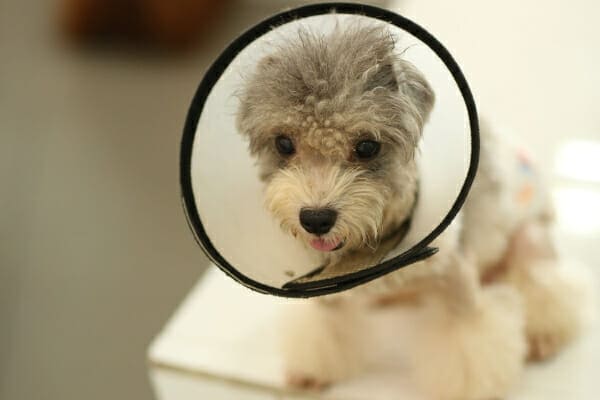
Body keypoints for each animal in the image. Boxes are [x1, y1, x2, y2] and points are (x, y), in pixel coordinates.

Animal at [236, 21, 584, 400]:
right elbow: (320, 326)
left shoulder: (458, 282)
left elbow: (468, 342)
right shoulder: (324, 292)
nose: (315, 219)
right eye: (284, 143)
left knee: (547, 286)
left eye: (367, 146)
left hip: (529, 238)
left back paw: (542, 335)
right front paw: (311, 372)